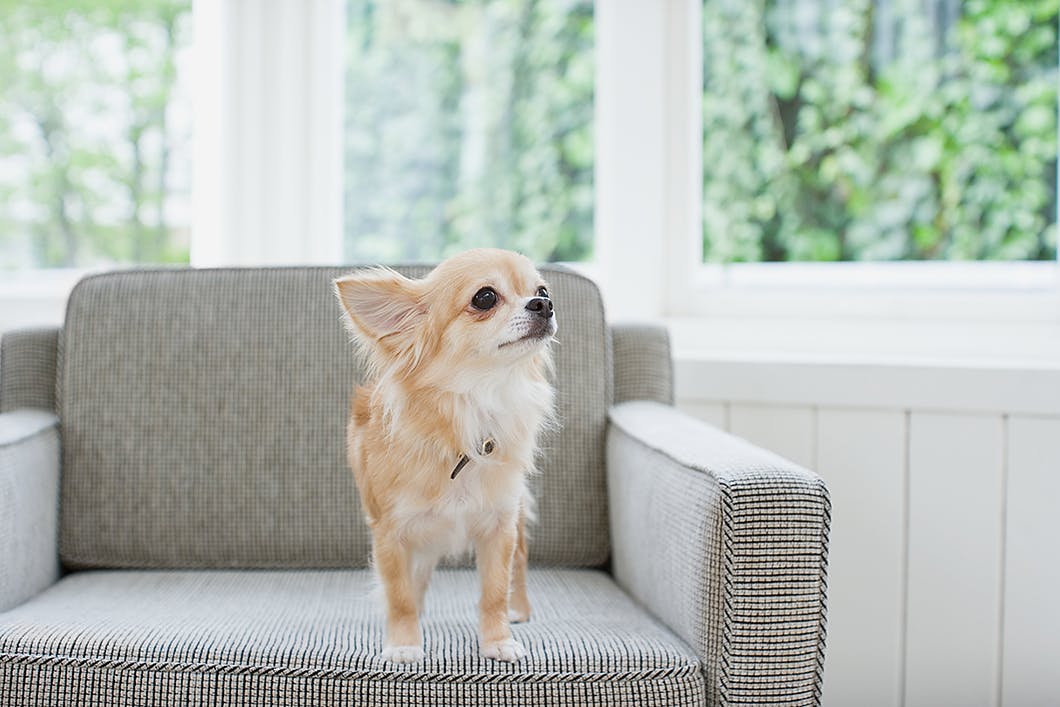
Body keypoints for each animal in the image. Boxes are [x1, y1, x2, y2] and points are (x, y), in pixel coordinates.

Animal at [334, 249, 559, 665]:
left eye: (542, 290)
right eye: (485, 297)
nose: (544, 305)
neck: (470, 417)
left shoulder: (499, 528)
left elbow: (494, 591)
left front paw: (497, 641)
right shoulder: (390, 533)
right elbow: (400, 596)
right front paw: (404, 644)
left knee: (519, 562)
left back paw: (519, 608)